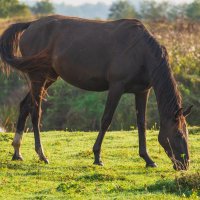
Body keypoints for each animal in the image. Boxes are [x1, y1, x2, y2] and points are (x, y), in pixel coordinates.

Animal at [0, 14, 192, 170]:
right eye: (178, 134)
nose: (184, 164)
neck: (141, 52)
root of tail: (31, 24)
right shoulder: (116, 87)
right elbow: (106, 120)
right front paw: (97, 157)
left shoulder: (142, 91)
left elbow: (141, 123)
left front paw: (147, 159)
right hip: (38, 76)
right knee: (35, 110)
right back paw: (42, 154)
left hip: (48, 77)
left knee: (25, 105)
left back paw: (17, 152)